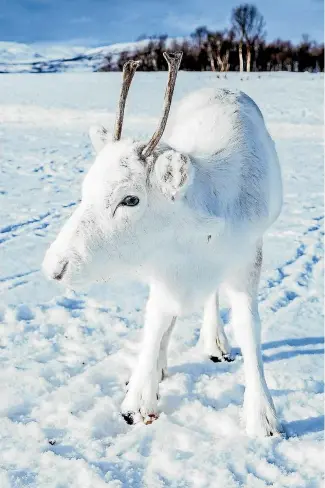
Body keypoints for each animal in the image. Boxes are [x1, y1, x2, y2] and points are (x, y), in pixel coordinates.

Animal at [42, 51, 280, 436]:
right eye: (86, 187)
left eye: (130, 199)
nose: (56, 267)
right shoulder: (163, 267)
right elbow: (156, 320)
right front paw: (139, 399)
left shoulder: (247, 258)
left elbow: (249, 328)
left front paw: (263, 417)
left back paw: (215, 342)